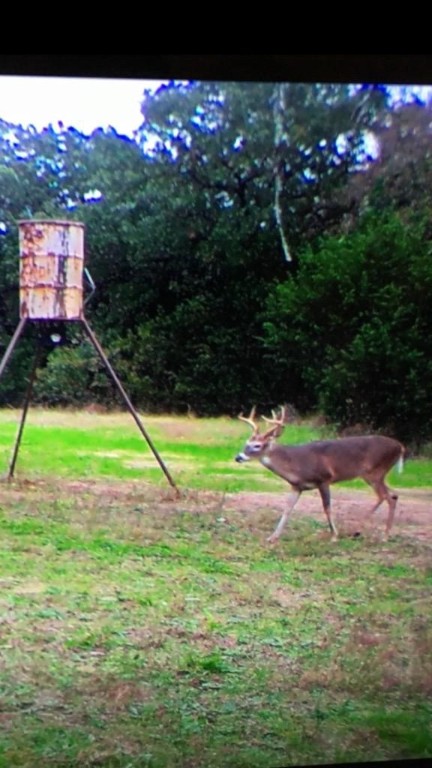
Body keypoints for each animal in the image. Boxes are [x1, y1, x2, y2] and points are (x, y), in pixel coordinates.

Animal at [235, 404, 404, 544]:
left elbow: (327, 507)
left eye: (257, 445)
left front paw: (334, 536)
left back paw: (372, 533)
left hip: (374, 472)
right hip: (378, 474)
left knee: (385, 496)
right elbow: (287, 509)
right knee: (393, 495)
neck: (295, 463)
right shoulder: (297, 486)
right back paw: (380, 533)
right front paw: (273, 537)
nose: (238, 457)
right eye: (246, 443)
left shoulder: (324, 479)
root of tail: (401, 447)